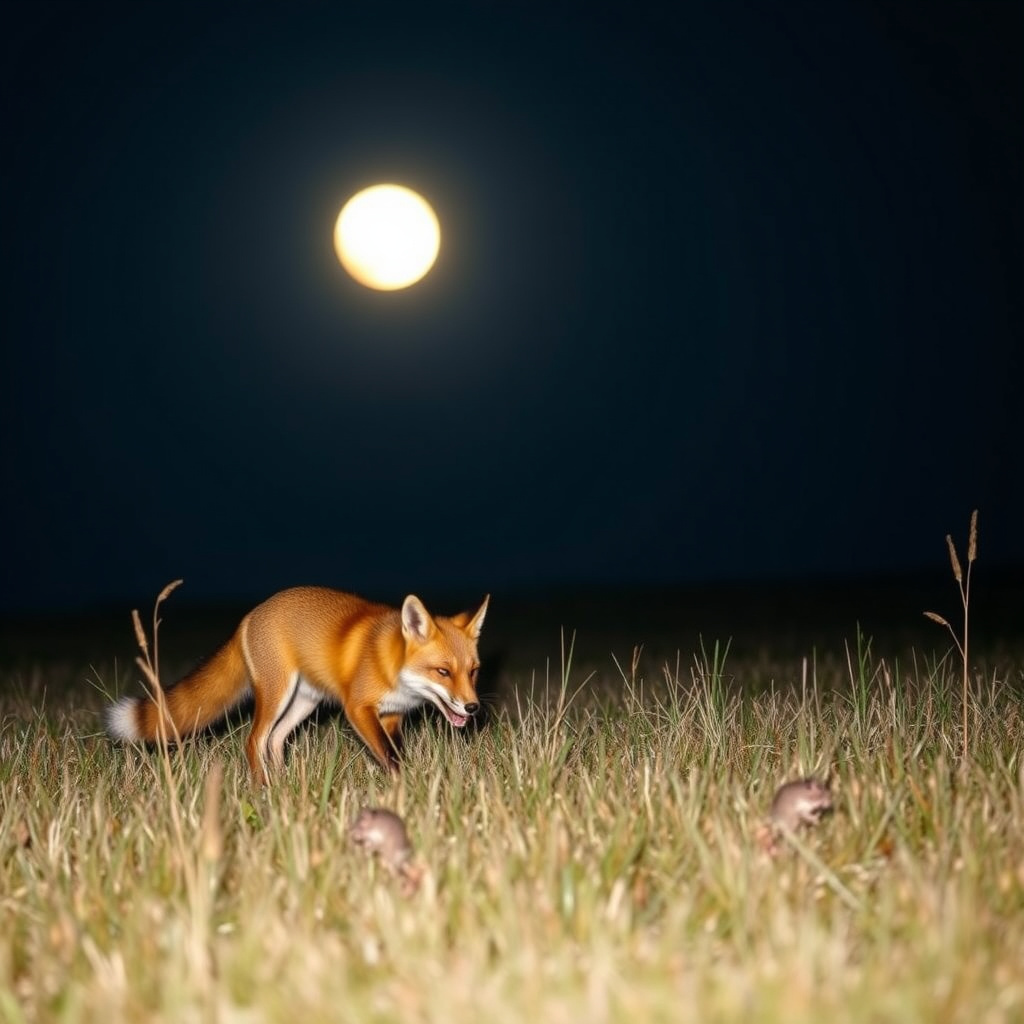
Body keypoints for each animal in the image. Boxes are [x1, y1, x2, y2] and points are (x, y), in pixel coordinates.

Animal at [105, 586, 489, 783]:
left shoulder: (392, 716)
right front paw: (404, 788)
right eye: (443, 672)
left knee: (275, 740)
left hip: (304, 702)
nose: (472, 707)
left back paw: (285, 787)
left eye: (473, 671)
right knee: (254, 740)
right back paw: (263, 789)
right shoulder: (358, 708)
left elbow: (394, 752)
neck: (389, 664)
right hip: (278, 694)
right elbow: (388, 756)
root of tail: (250, 615)